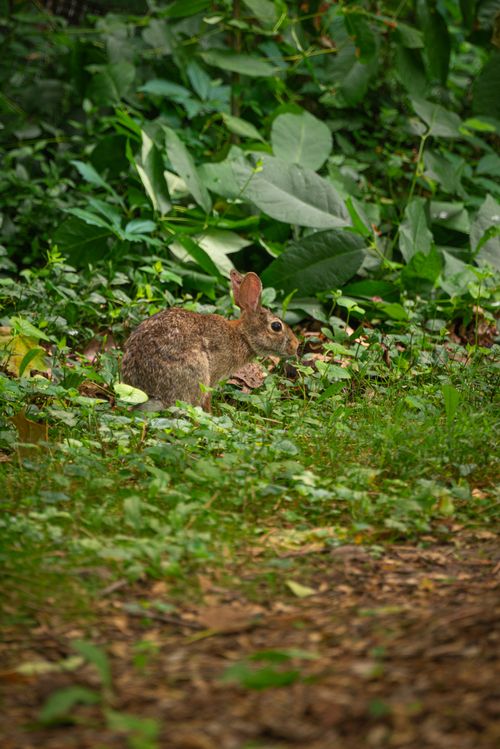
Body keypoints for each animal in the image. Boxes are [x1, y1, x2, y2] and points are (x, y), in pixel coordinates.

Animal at [121, 270, 299, 412]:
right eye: (276, 326)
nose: (296, 345)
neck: (242, 336)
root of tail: (146, 393)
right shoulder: (213, 377)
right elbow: (207, 397)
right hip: (196, 370)